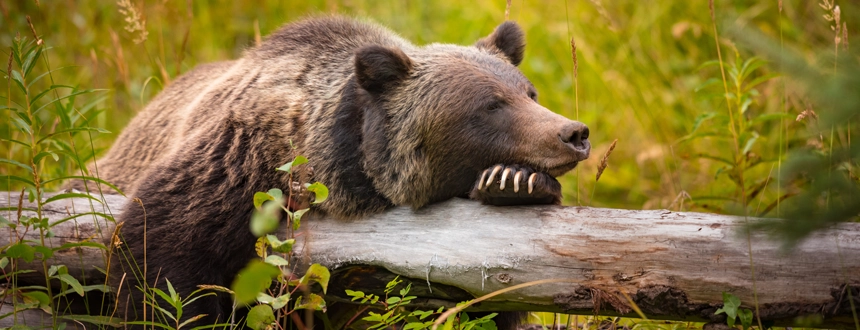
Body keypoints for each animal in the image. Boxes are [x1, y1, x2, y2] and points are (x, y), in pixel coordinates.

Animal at [90, 16, 596, 330]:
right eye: (490, 105)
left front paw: (515, 182)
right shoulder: (237, 166)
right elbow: (160, 251)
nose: (573, 132)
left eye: (528, 92)